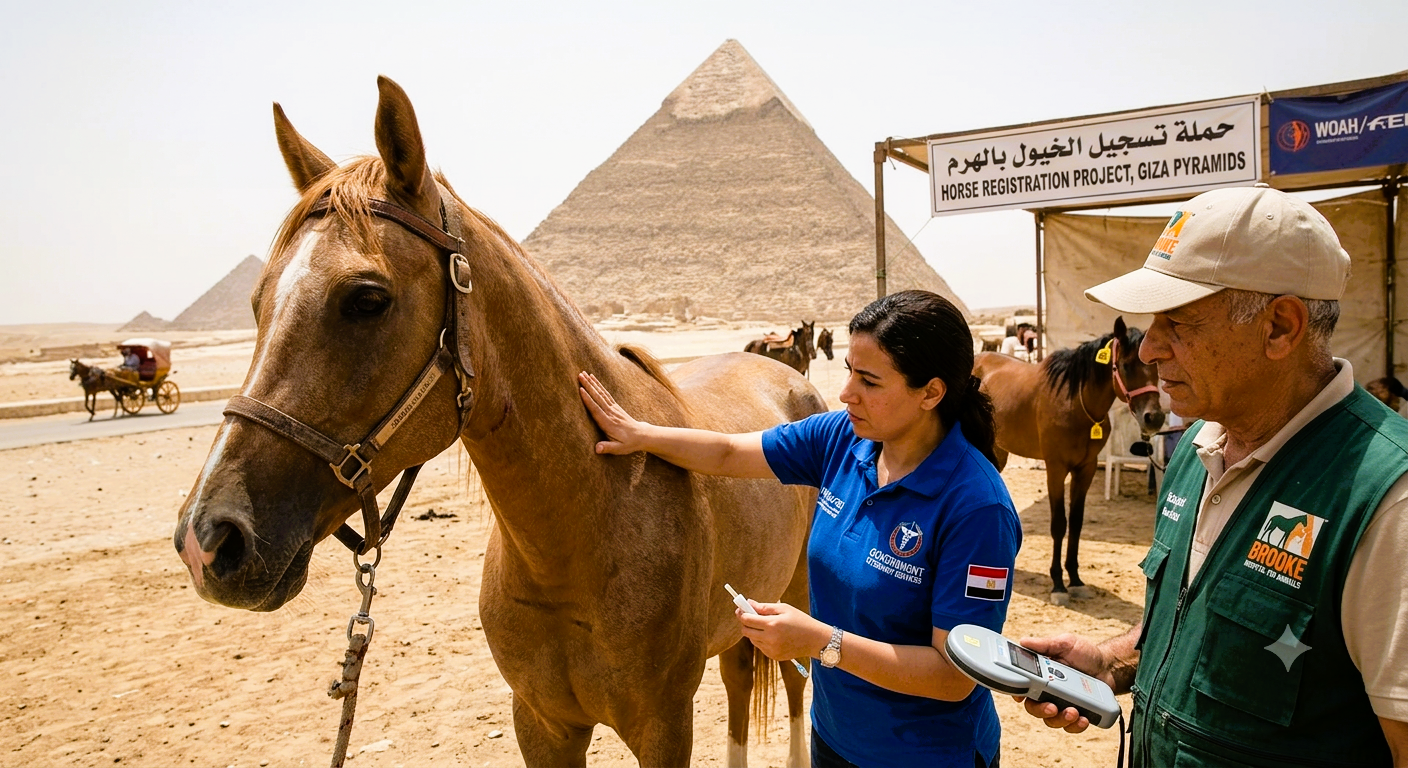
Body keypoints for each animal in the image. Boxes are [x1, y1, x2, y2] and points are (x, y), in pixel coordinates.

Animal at [172, 77, 821, 768]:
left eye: (367, 298)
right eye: (257, 303)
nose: (206, 539)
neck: (581, 538)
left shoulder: (664, 724)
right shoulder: (540, 722)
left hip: (795, 598)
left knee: (794, 681)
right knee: (739, 678)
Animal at [973, 317, 1164, 605]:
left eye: (1154, 366)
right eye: (1126, 366)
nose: (1154, 418)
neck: (1075, 402)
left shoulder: (1085, 469)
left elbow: (1076, 523)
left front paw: (1074, 579)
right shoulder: (1056, 469)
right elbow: (1059, 524)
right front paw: (1057, 584)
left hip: (997, 450)